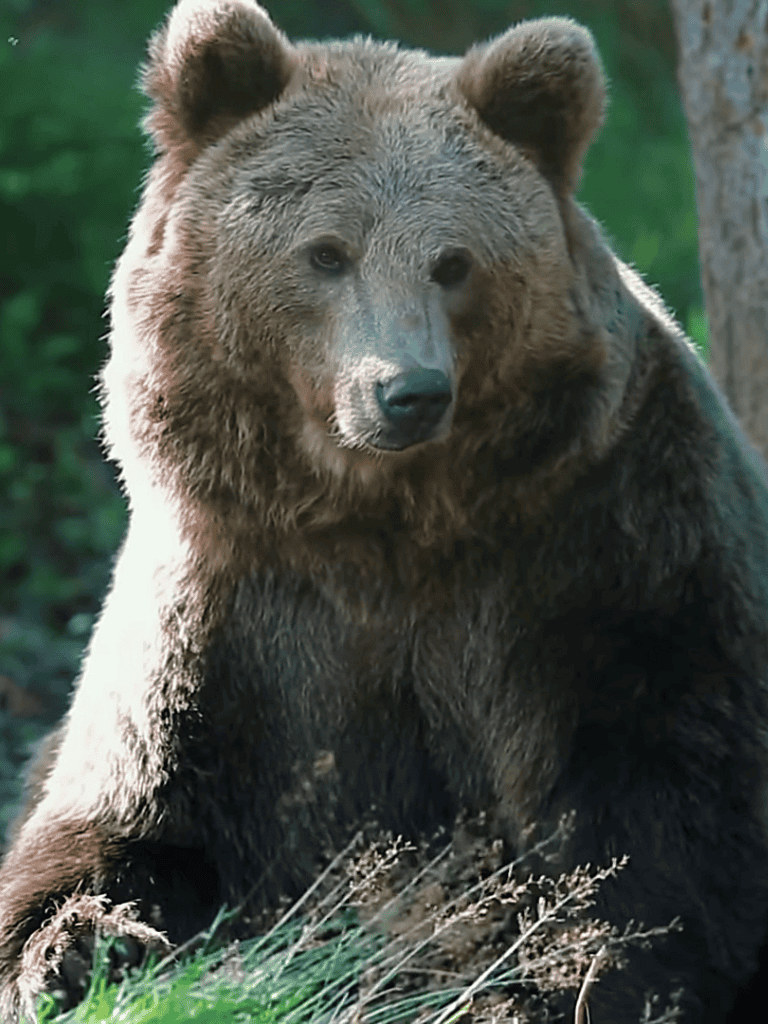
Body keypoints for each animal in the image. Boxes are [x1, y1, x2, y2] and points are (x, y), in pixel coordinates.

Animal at [1, 0, 768, 1019]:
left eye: (454, 262)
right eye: (327, 252)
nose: (409, 392)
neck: (380, 517)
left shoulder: (613, 548)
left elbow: (665, 803)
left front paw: (563, 971)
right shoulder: (228, 609)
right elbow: (119, 810)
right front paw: (78, 946)